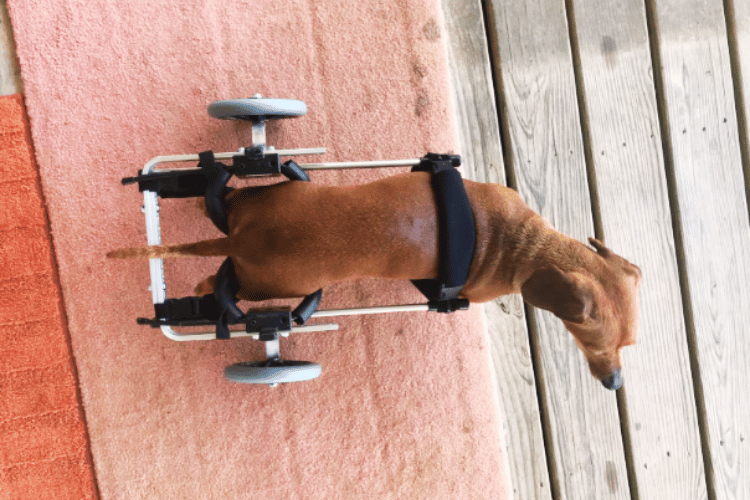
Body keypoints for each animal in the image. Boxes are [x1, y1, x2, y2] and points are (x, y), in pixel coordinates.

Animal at [108, 172, 644, 390]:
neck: (521, 245)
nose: (615, 383)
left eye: (629, 346)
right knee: (214, 288)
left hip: (266, 201)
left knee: (219, 211)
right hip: (271, 287)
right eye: (596, 342)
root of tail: (242, 241)